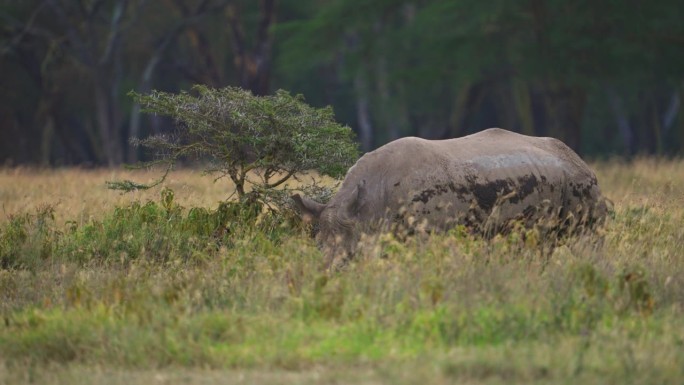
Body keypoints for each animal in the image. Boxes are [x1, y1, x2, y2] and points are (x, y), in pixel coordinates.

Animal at [294, 127, 608, 268]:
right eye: (317, 247)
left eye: (350, 255)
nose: (328, 276)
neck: (368, 204)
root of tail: (580, 161)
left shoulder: (427, 235)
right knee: (538, 244)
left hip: (582, 185)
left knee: (586, 241)